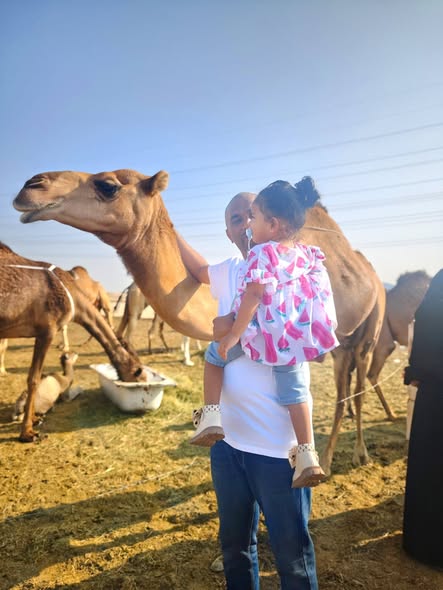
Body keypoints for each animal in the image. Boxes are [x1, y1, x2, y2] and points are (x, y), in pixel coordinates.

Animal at [0, 242, 147, 442]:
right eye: (138, 373)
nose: (145, 388)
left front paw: (33, 420)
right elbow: (34, 379)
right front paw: (28, 432)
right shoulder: (47, 330)